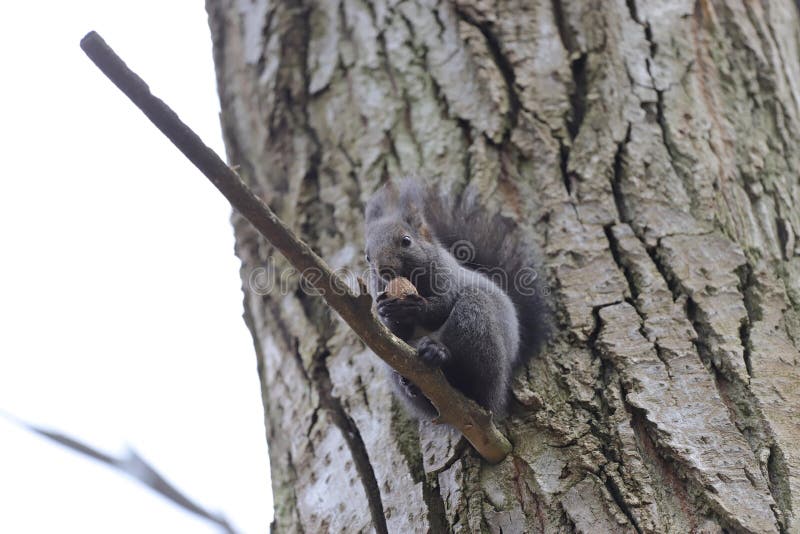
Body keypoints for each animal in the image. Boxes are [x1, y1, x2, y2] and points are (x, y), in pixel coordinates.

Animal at [364, 178, 551, 419]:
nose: (384, 269)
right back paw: (413, 384)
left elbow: (441, 308)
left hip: (477, 324)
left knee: (473, 381)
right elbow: (396, 331)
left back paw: (439, 354)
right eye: (367, 257)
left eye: (406, 241)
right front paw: (385, 309)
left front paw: (412, 307)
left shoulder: (449, 278)